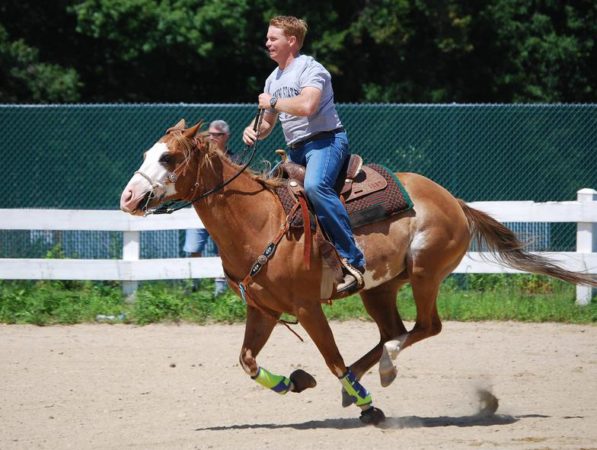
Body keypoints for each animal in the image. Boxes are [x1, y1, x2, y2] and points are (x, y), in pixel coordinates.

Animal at [118, 119, 592, 426]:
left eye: (168, 157)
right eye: (146, 153)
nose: (128, 197)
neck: (261, 220)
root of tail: (453, 200)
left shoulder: (307, 308)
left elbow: (331, 358)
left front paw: (369, 406)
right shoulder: (264, 311)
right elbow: (247, 361)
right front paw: (293, 382)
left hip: (425, 272)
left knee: (424, 327)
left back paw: (382, 371)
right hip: (378, 289)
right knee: (394, 330)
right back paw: (368, 376)